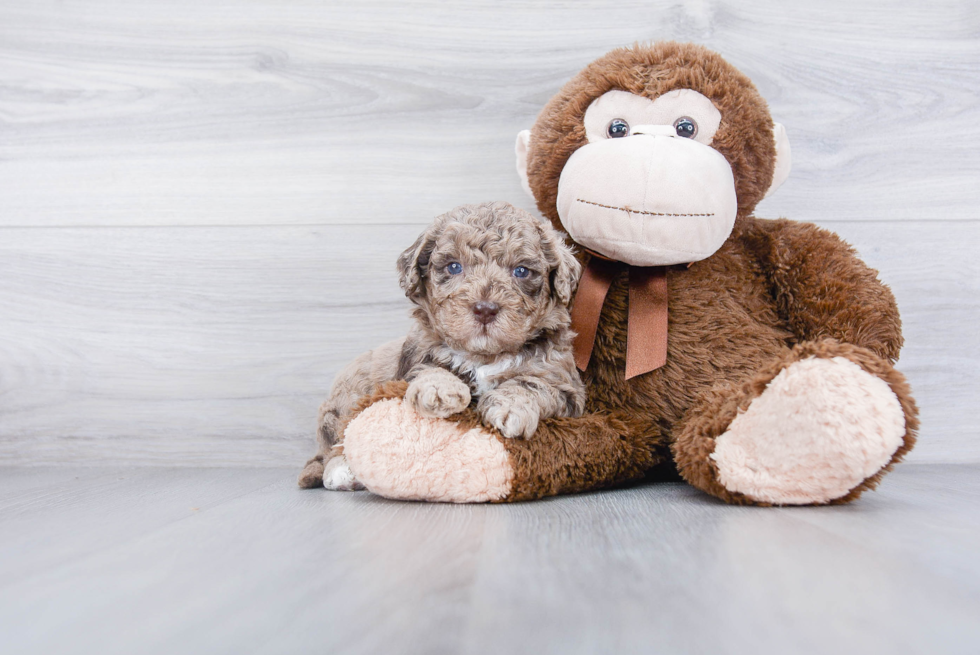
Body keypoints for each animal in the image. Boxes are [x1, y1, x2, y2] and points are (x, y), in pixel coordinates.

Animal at [294, 201, 584, 492]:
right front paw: (440, 390)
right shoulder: (418, 357)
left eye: (521, 271)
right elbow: (433, 369)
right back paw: (341, 471)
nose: (485, 309)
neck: (484, 356)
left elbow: (531, 384)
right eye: (454, 267)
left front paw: (510, 407)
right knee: (333, 443)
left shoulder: (564, 385)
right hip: (341, 406)